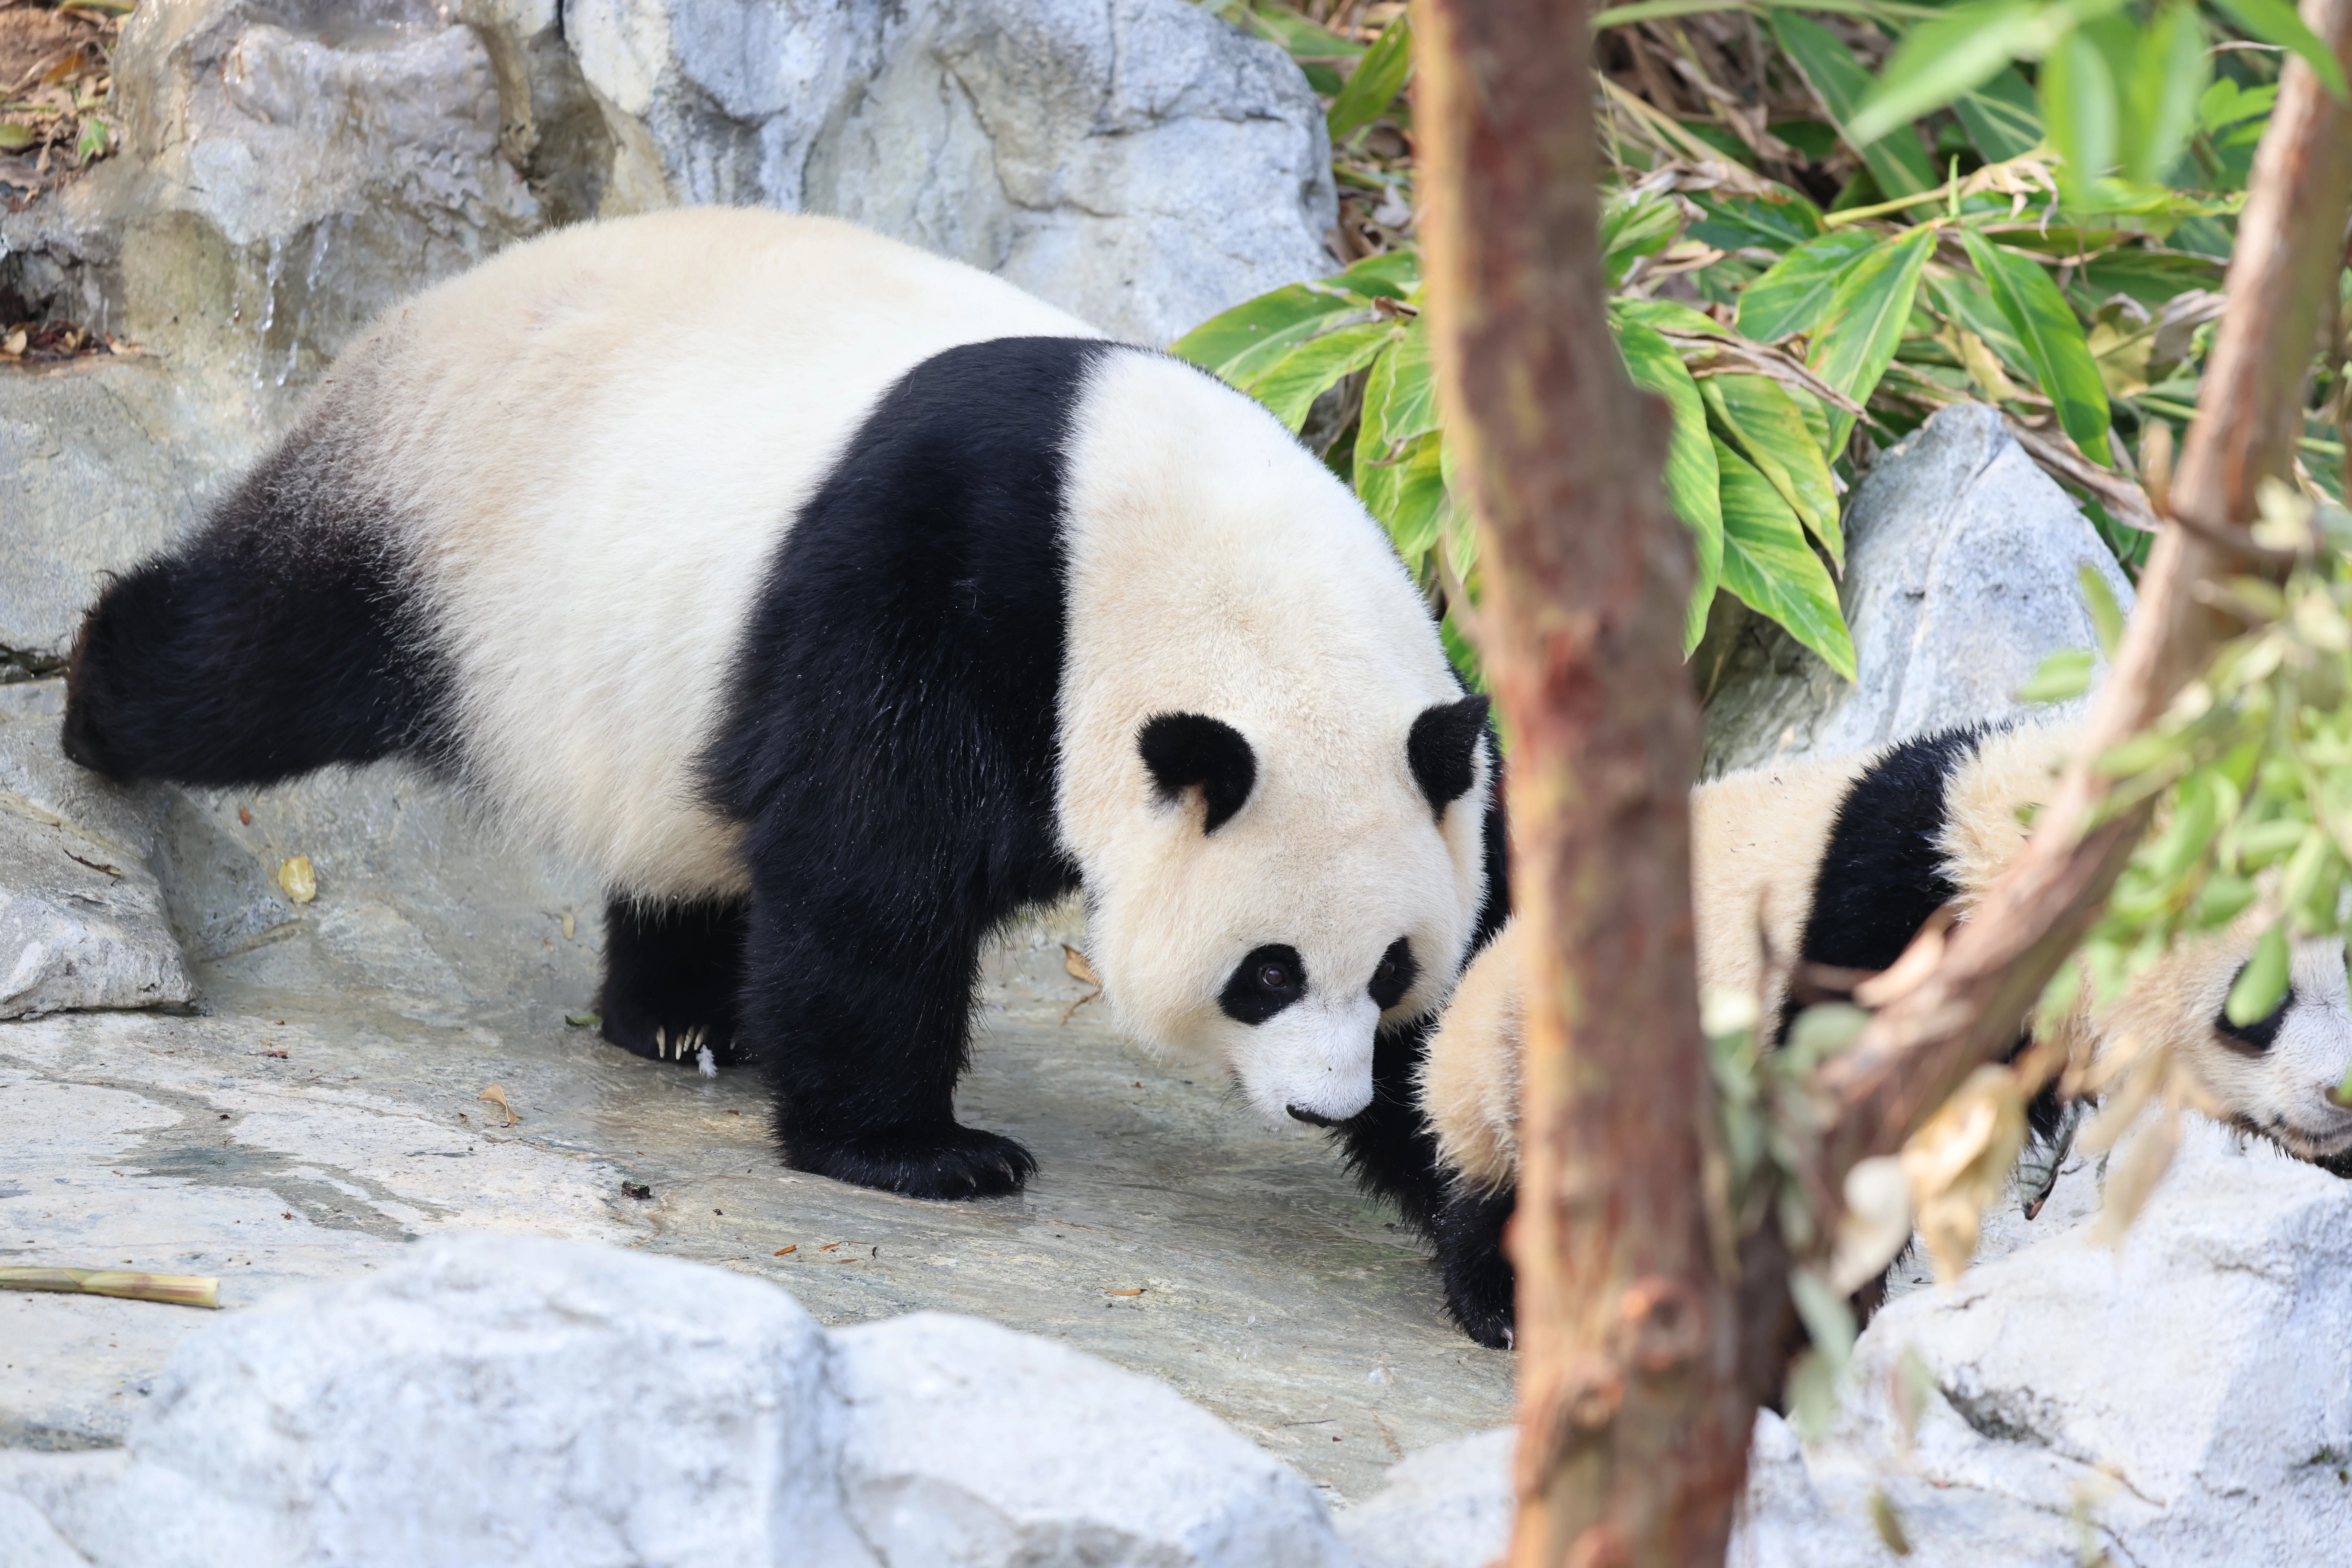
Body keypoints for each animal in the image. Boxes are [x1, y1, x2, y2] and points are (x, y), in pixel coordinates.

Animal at [61, 208, 1510, 1225]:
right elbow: (872, 860)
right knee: (254, 663)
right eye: (1266, 971)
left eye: (1390, 969)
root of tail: (425, 302)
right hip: (439, 530)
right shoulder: (947, 584)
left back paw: (681, 1018)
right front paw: (920, 1150)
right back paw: (90, 705)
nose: (1327, 1100)